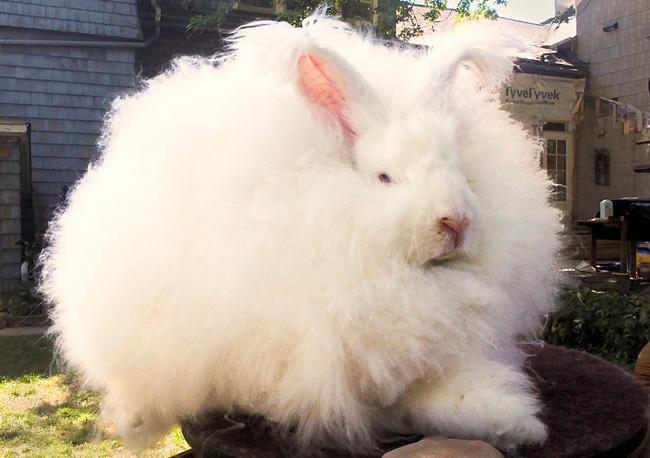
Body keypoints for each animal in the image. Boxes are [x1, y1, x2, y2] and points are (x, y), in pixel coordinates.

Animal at [39, 12, 556, 456]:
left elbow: (452, 397)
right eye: (385, 178)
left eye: (463, 173)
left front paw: (521, 425)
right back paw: (136, 419)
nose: (455, 222)